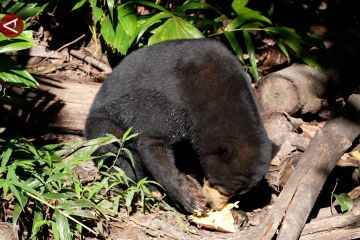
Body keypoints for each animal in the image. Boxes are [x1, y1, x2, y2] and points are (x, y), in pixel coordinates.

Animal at [86, 39, 272, 216]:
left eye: (236, 192)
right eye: (222, 186)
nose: (215, 206)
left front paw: (237, 213)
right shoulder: (171, 101)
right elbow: (153, 143)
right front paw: (192, 199)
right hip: (104, 125)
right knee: (119, 152)